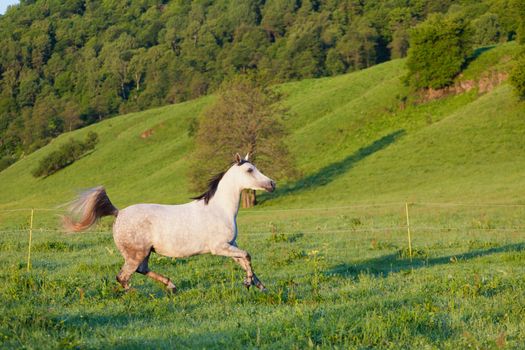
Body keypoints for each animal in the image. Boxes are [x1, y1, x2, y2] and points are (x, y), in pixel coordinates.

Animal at [64, 153, 274, 292]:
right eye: (250, 170)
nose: (272, 184)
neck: (219, 209)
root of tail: (119, 213)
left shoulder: (230, 245)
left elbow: (244, 261)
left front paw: (259, 285)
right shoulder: (219, 247)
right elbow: (247, 256)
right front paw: (248, 283)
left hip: (144, 253)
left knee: (141, 270)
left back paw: (171, 285)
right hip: (135, 254)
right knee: (123, 276)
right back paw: (136, 293)